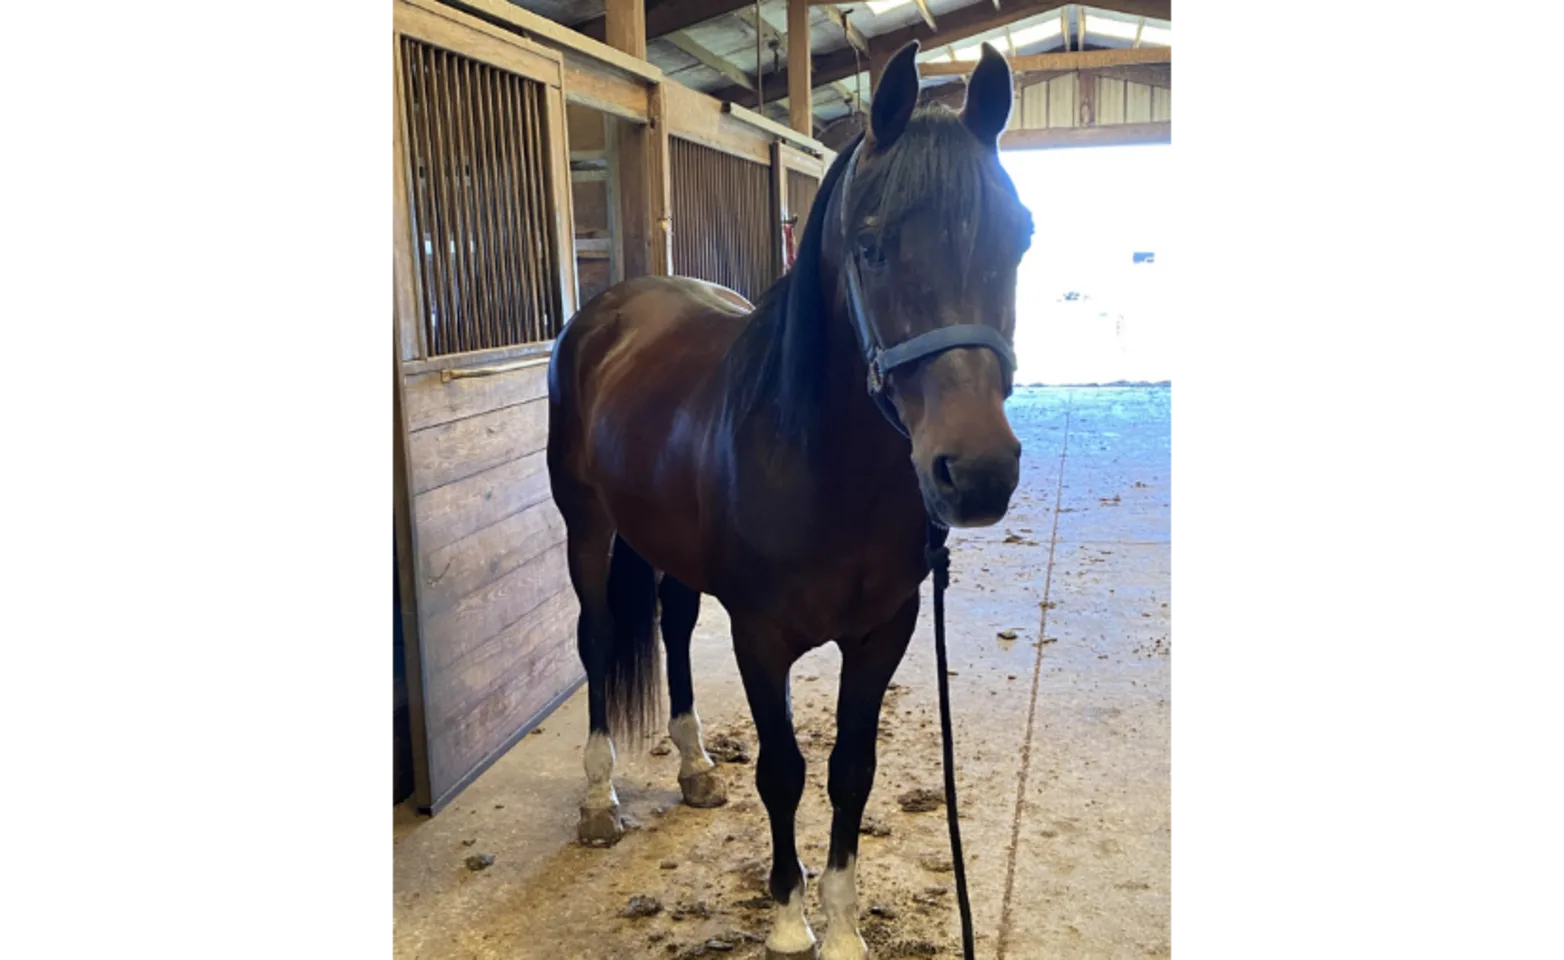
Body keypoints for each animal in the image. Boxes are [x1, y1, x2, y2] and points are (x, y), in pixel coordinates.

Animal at [544, 39, 1032, 960]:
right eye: (871, 247)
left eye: (1019, 236)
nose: (980, 473)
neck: (820, 467)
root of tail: (608, 308)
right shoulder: (760, 638)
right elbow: (784, 771)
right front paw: (785, 921)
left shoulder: (883, 634)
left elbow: (850, 770)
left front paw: (839, 927)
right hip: (586, 527)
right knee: (596, 639)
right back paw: (596, 802)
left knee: (672, 625)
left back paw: (696, 767)